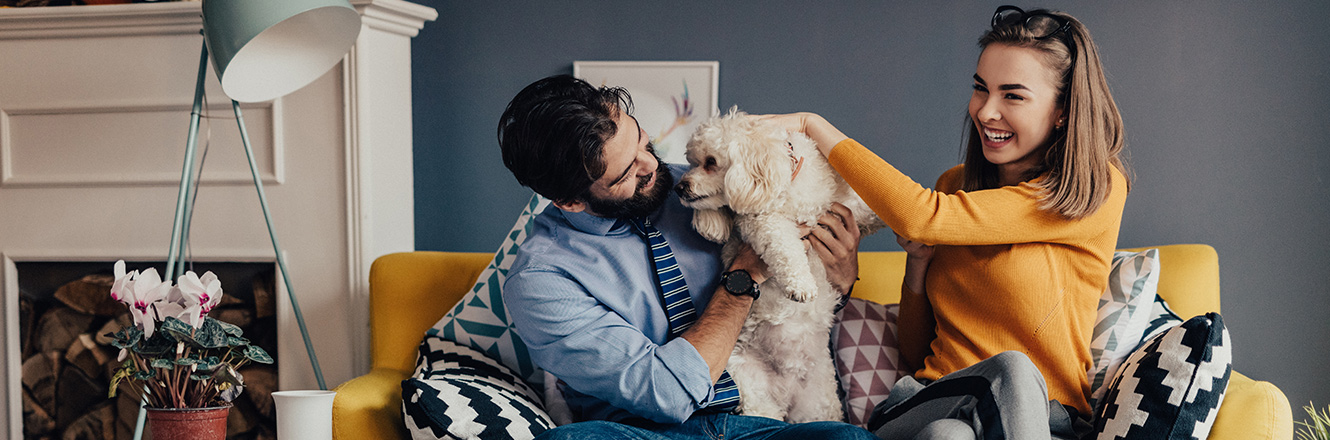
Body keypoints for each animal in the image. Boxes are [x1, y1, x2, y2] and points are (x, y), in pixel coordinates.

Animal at [675, 108, 883, 422]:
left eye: (710, 162)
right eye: (691, 162)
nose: (679, 187)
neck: (784, 182)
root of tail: (786, 393)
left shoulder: (841, 205)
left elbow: (867, 207)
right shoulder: (761, 221)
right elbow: (784, 245)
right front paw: (801, 283)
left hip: (817, 405)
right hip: (747, 383)